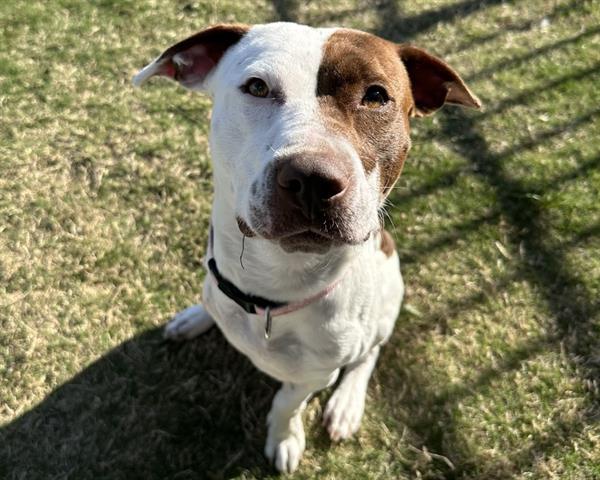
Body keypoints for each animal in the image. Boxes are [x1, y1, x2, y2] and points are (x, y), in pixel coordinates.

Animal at [134, 21, 480, 472]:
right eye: (257, 87)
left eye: (376, 95)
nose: (312, 178)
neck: (272, 292)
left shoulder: (317, 374)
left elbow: (287, 401)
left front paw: (284, 437)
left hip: (388, 301)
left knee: (369, 354)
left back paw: (346, 405)